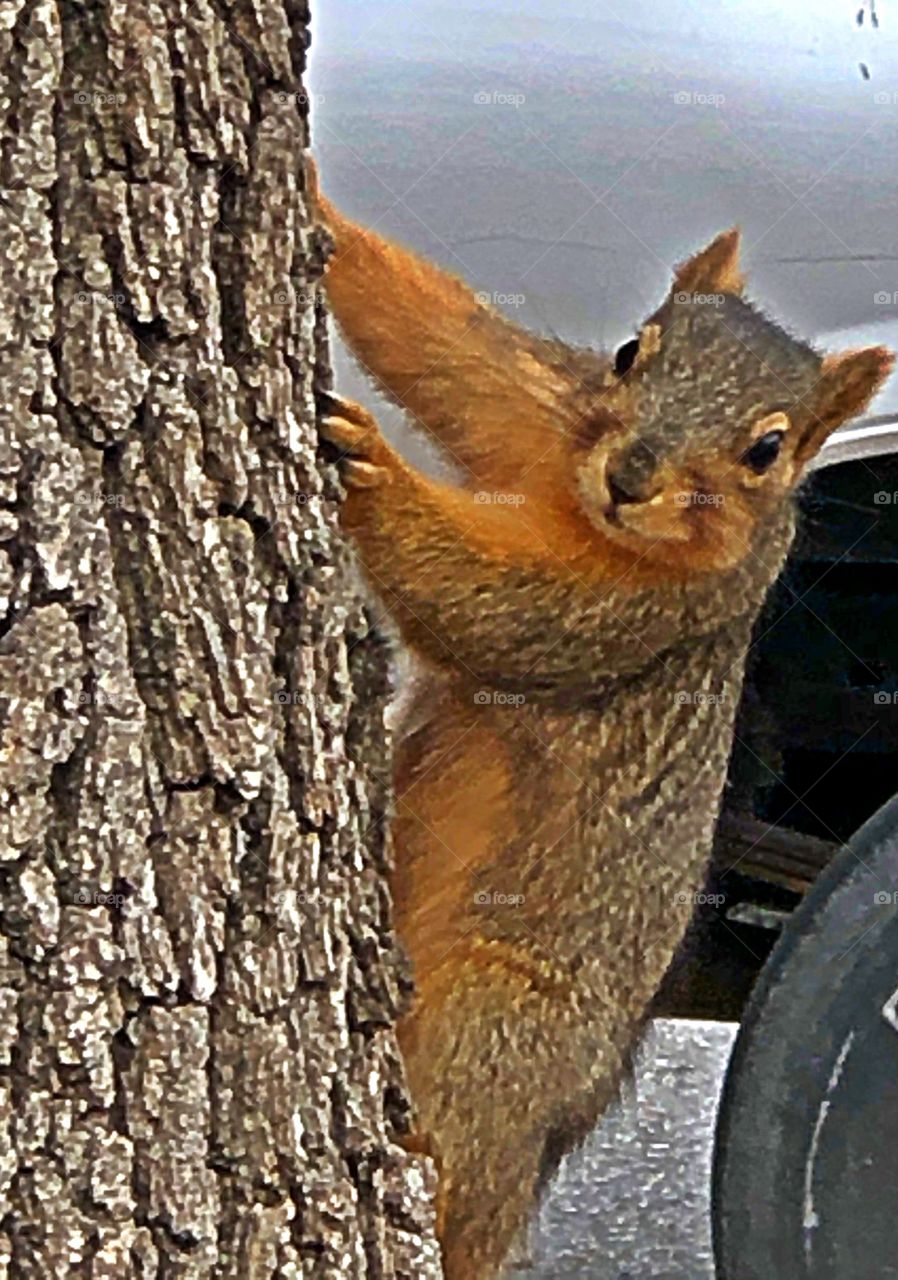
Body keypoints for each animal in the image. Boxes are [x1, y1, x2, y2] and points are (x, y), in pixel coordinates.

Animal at [308, 160, 892, 1279]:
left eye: (767, 450)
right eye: (630, 353)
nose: (630, 476)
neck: (585, 509)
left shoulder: (643, 612)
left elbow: (494, 606)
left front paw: (373, 473)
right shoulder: (541, 413)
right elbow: (447, 347)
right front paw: (312, 201)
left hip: (494, 1019)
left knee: (454, 1139)